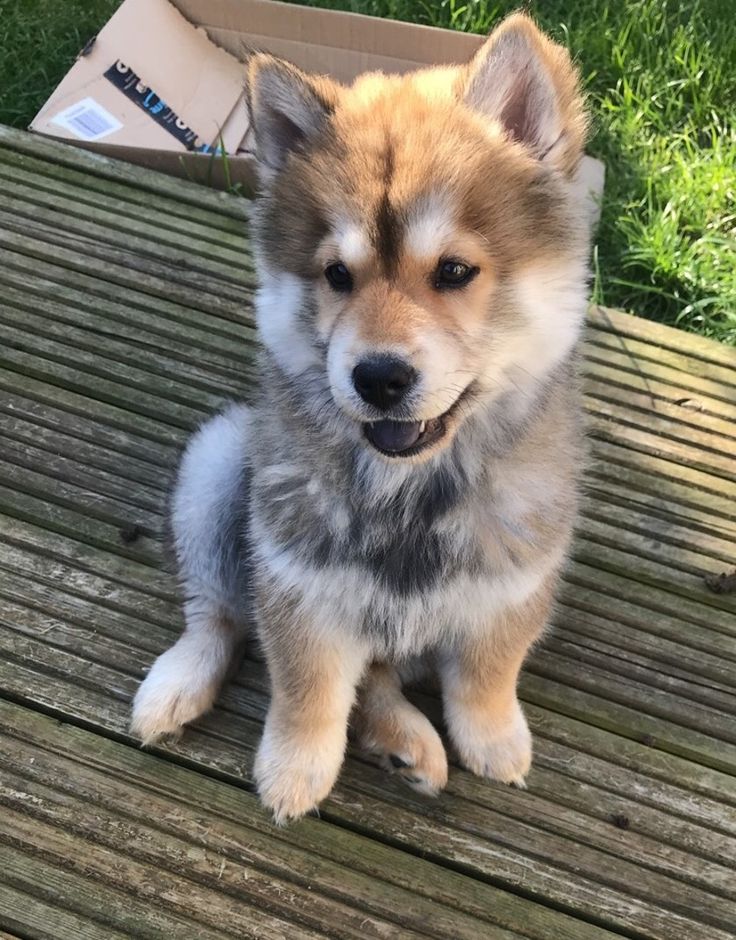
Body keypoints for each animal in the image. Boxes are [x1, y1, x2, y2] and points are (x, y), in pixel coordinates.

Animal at [132, 12, 588, 824]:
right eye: (337, 275)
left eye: (455, 272)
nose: (377, 377)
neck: (409, 492)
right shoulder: (297, 583)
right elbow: (306, 690)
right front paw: (294, 770)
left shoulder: (515, 579)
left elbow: (488, 672)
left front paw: (494, 739)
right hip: (219, 463)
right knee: (217, 614)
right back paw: (179, 685)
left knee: (378, 673)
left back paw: (402, 742)